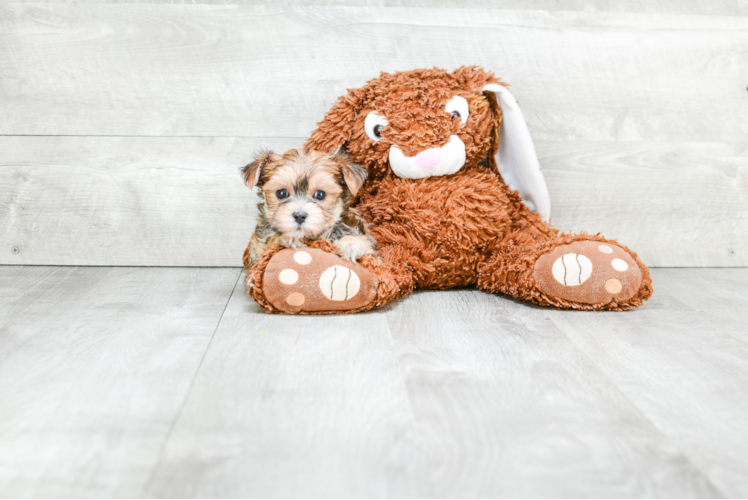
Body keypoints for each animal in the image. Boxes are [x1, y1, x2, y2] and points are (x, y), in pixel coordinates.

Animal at [243, 147, 376, 268]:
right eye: (281, 193)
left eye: (320, 194)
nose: (299, 216)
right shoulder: (257, 252)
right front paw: (285, 239)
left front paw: (352, 243)